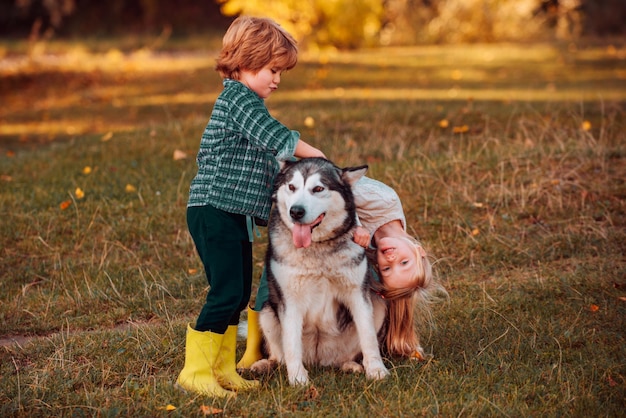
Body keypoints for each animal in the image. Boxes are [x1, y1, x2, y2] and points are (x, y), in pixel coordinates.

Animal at [251, 158, 388, 386]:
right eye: (292, 187)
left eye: (318, 189)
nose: (296, 212)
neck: (317, 249)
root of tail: (319, 359)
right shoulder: (290, 300)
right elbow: (291, 345)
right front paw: (298, 379)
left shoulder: (358, 294)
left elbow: (368, 338)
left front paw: (377, 370)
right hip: (267, 311)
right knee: (278, 356)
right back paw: (263, 364)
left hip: (378, 304)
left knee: (347, 354)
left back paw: (351, 365)